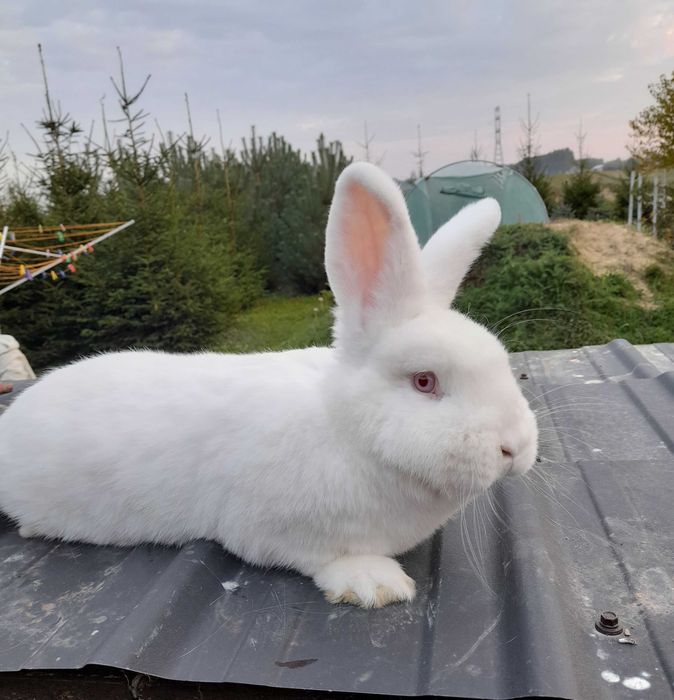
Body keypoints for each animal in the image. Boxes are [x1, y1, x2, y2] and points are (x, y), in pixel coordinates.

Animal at [0, 163, 536, 608]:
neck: (346, 432)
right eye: (425, 381)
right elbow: (324, 558)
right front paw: (376, 584)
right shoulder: (270, 530)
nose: (516, 447)